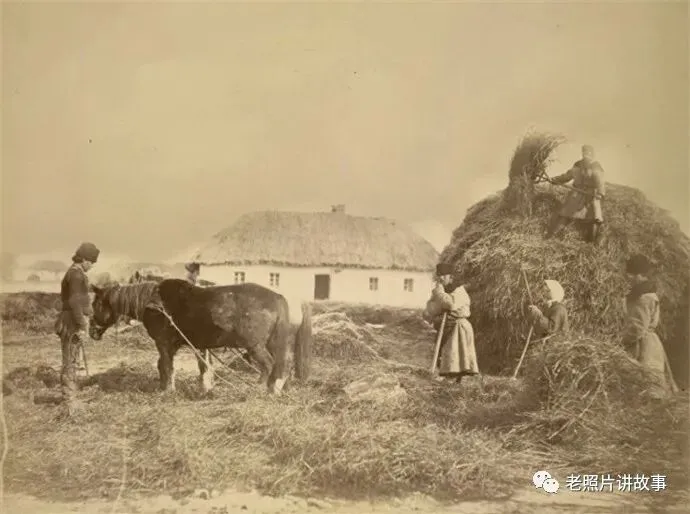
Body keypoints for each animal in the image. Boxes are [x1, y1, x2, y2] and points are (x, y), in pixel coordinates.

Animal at [88, 279, 312, 395]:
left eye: (96, 303)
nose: (91, 331)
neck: (154, 303)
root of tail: (280, 297)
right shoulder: (198, 345)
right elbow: (202, 366)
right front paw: (204, 388)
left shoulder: (163, 344)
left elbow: (166, 366)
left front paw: (167, 390)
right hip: (276, 342)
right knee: (283, 364)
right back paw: (280, 387)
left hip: (255, 345)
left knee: (269, 365)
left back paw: (264, 388)